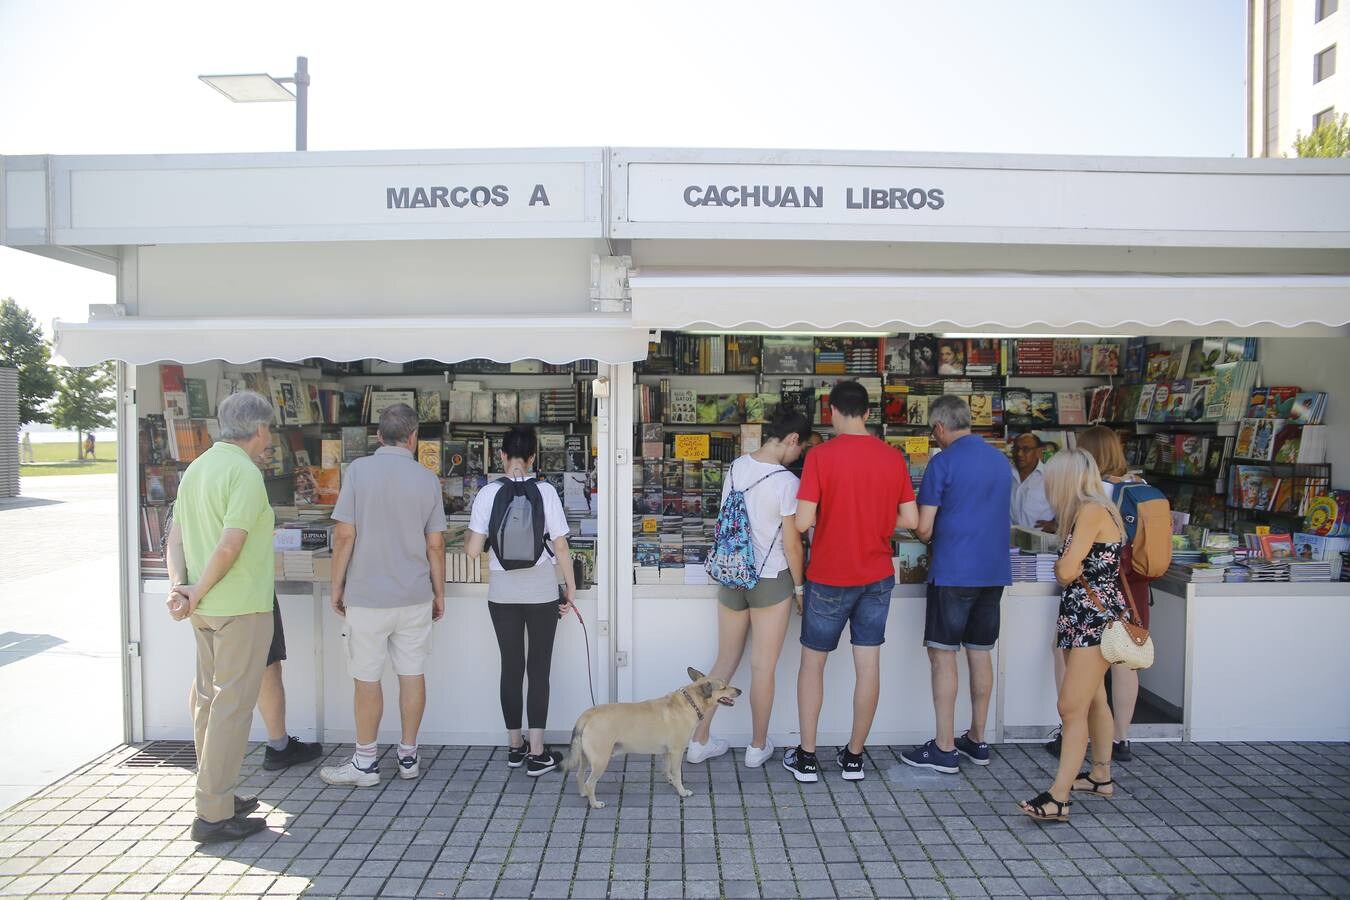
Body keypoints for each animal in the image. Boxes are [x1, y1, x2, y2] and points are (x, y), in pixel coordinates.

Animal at [564, 669, 745, 809]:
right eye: (723, 687)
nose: (740, 691)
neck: (689, 703)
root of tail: (586, 715)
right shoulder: (677, 751)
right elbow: (677, 773)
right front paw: (682, 791)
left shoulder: (667, 752)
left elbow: (666, 769)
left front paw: (670, 781)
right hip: (600, 760)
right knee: (590, 782)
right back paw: (594, 803)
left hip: (586, 758)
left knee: (579, 775)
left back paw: (583, 793)